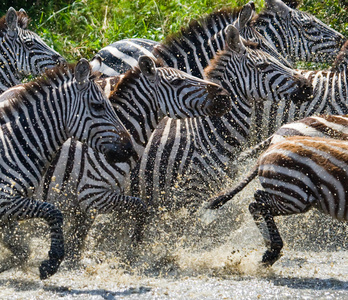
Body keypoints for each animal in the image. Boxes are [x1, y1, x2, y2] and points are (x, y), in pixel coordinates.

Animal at [0, 58, 135, 278]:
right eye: (97, 106)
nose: (129, 149)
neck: (14, 145)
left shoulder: (11, 206)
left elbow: (22, 248)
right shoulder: (5, 200)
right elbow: (52, 211)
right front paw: (52, 261)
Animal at [34, 55, 232, 262]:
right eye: (177, 81)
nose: (225, 95)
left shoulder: (85, 204)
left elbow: (78, 239)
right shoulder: (92, 194)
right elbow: (140, 208)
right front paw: (134, 245)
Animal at [208, 135, 348, 264]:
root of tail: (265, 152)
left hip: (290, 197)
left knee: (256, 203)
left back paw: (270, 247)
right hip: (293, 196)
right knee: (258, 202)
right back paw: (273, 250)